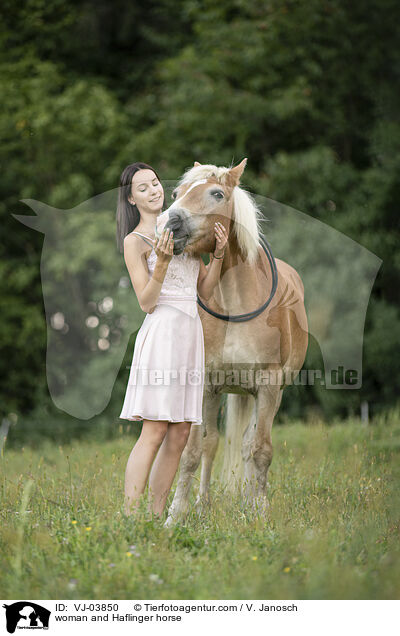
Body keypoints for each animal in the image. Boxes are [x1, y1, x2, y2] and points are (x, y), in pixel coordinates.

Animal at [155, 157, 308, 524]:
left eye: (216, 194)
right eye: (177, 194)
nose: (169, 223)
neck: (236, 300)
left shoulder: (268, 385)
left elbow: (261, 450)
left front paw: (260, 512)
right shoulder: (206, 386)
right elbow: (196, 449)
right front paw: (177, 514)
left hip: (271, 394)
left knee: (249, 445)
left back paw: (250, 502)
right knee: (215, 445)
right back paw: (205, 503)